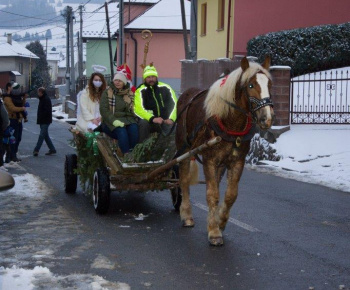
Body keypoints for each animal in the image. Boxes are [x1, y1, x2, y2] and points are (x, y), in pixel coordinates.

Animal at [176, 56, 274, 245]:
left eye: (269, 84)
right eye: (251, 85)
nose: (267, 118)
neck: (230, 123)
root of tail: (187, 93)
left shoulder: (237, 161)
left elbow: (229, 195)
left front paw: (219, 222)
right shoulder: (209, 160)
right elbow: (212, 194)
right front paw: (214, 232)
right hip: (184, 149)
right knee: (183, 180)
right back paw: (186, 215)